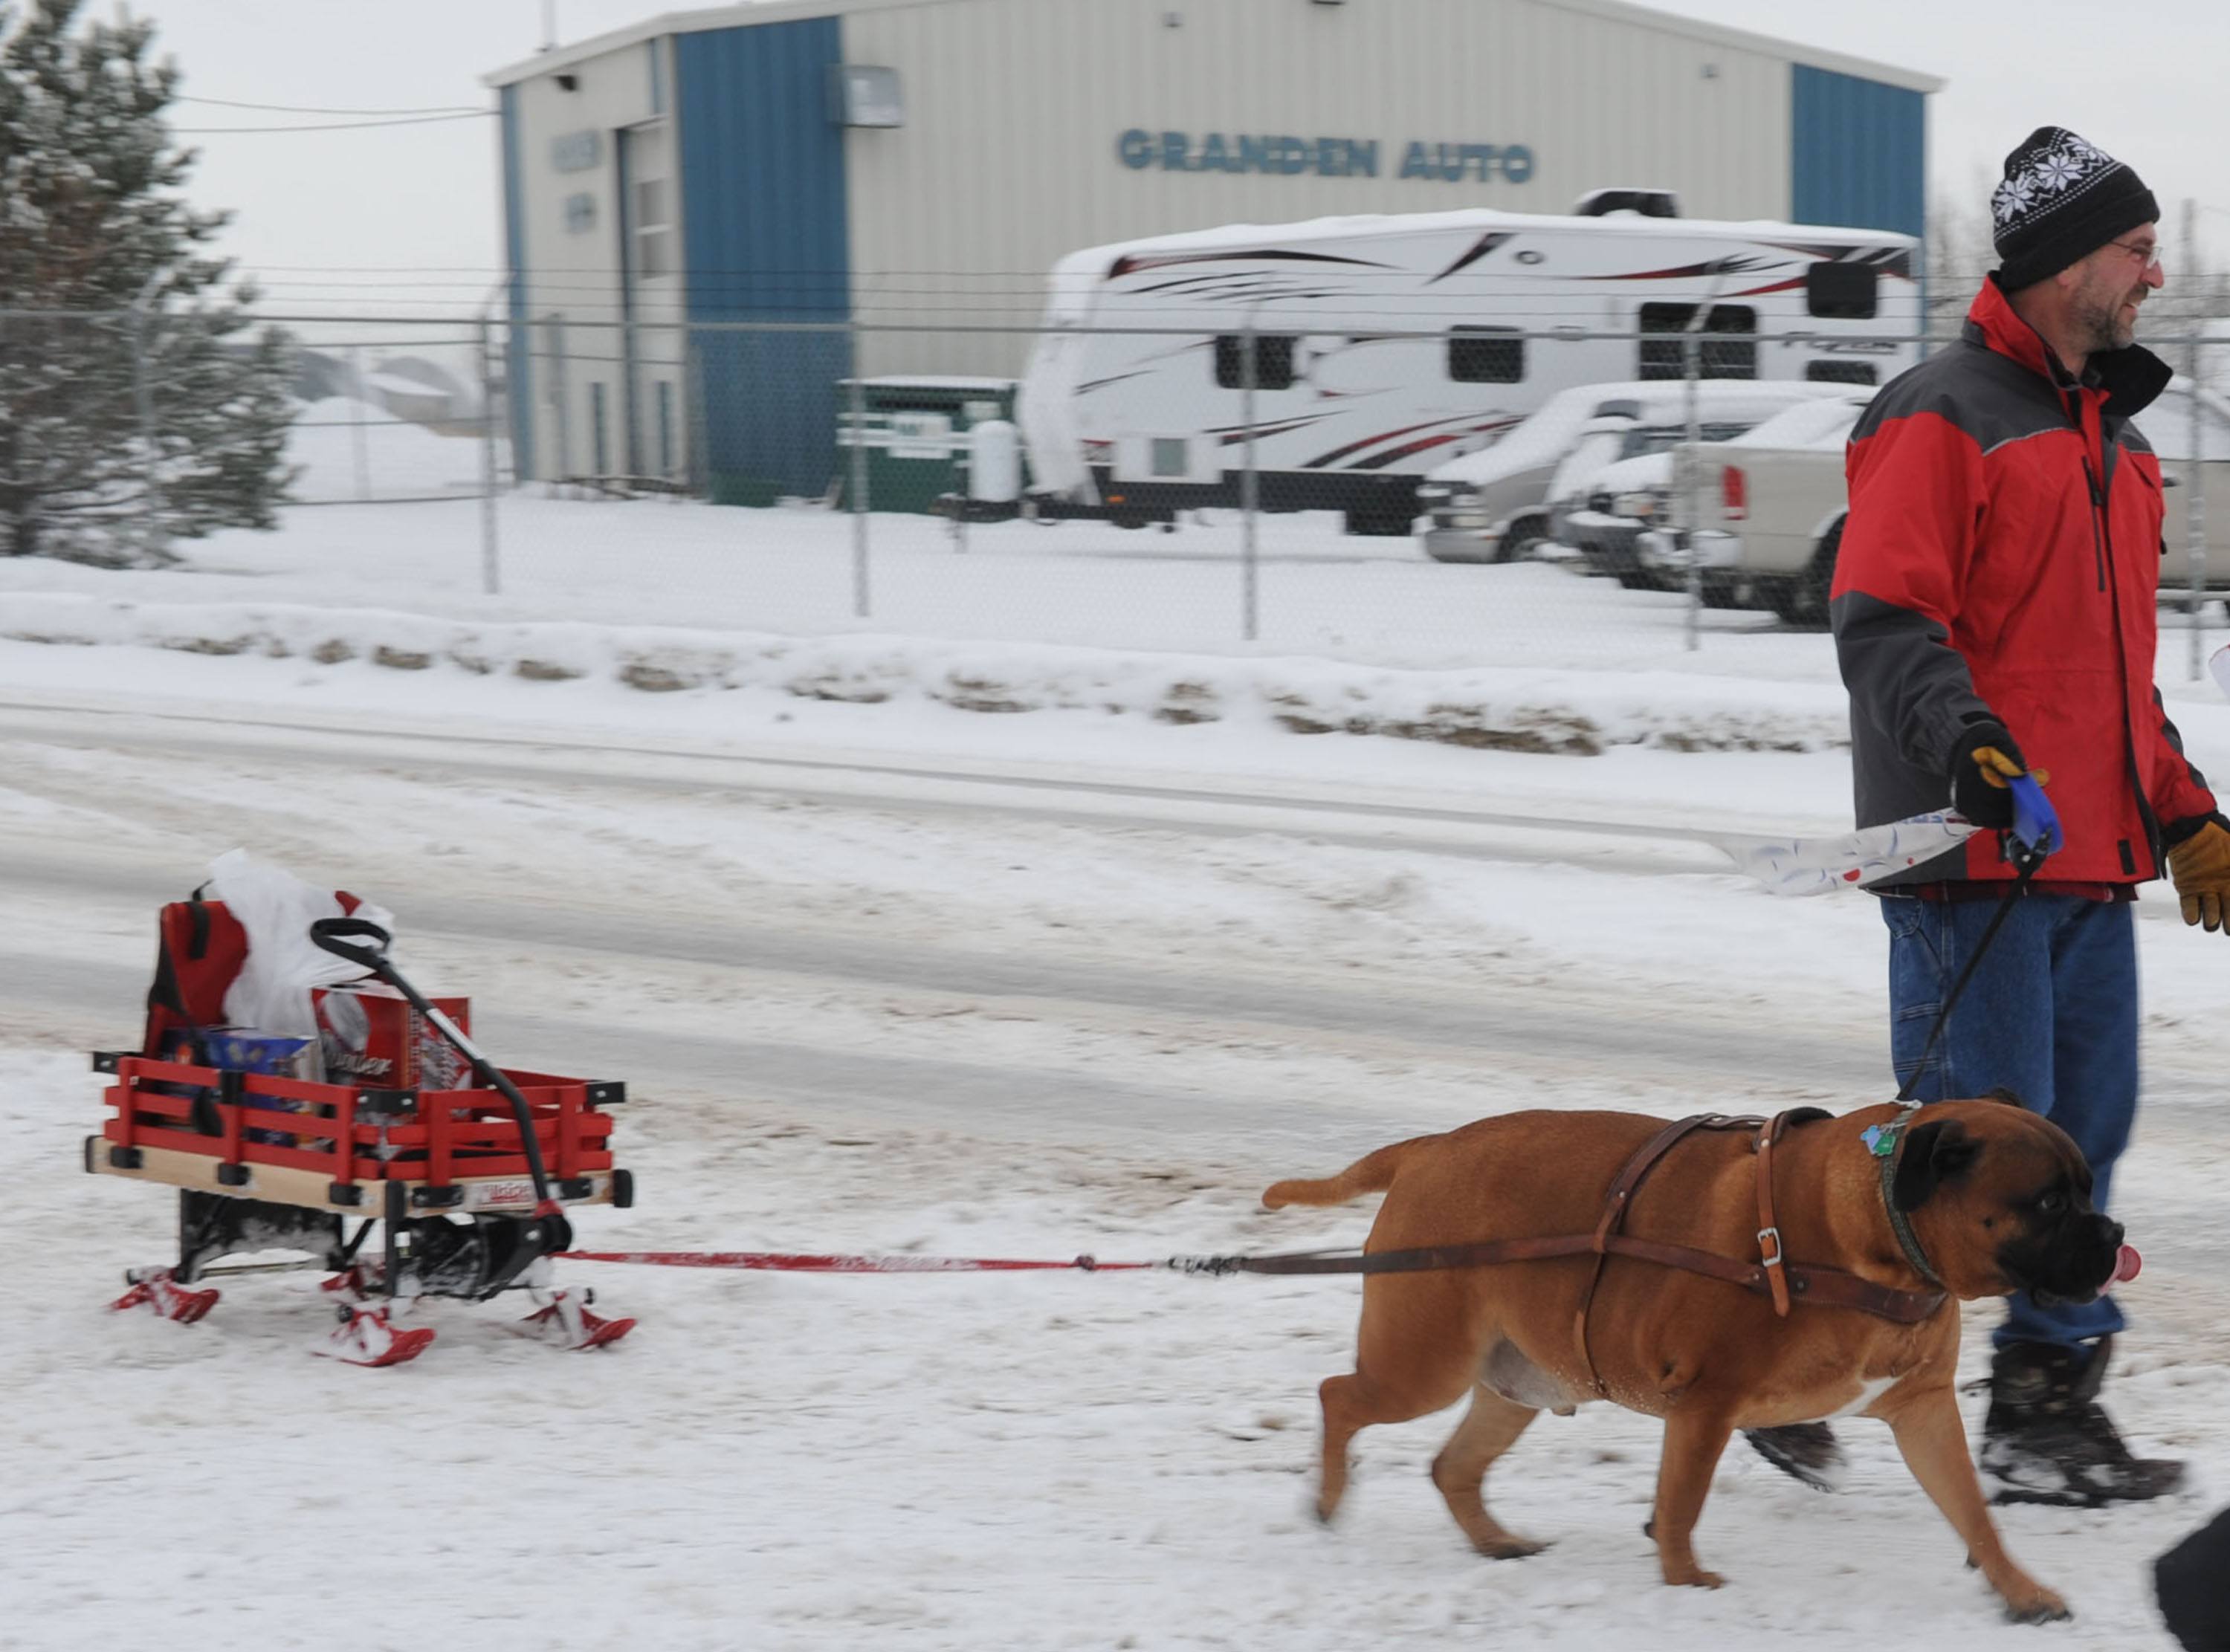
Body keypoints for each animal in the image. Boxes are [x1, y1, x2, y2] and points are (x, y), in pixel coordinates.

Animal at [1276, 1097, 2123, 1623]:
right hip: (1424, 1364)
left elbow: (1973, 1513)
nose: (2113, 1232)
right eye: (2049, 1202)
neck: (1878, 1234)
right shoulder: (1706, 1406)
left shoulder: (1923, 1413)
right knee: (1337, 1395)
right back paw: (1326, 1501)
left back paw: (1494, 1540)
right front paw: (1684, 1582)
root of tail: (1427, 1149)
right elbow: (1682, 1503)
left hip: (1517, 1382)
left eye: (2087, 1187)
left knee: (1452, 1465)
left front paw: (2019, 1590)